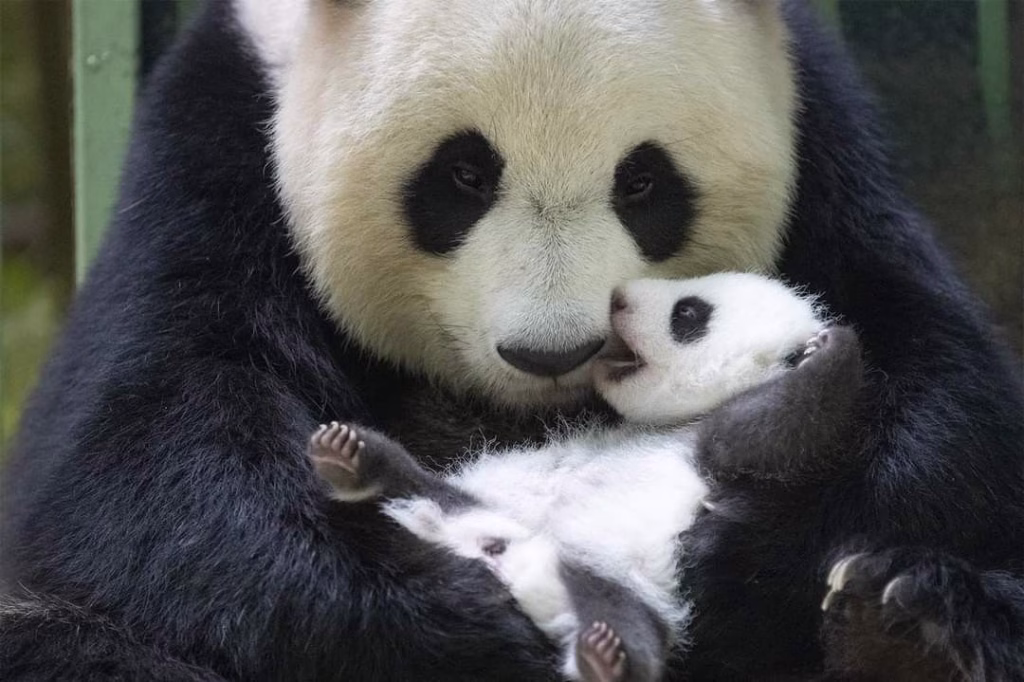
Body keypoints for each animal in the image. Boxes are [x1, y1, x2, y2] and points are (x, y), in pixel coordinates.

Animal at [308, 273, 859, 682]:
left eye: (688, 313)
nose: (617, 296)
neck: (672, 425)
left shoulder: (725, 449)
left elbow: (769, 429)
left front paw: (831, 347)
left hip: (614, 583)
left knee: (633, 632)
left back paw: (605, 655)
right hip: (472, 501)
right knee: (413, 480)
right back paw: (352, 457)